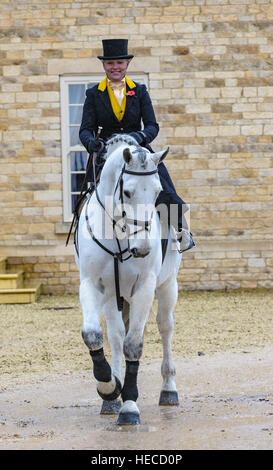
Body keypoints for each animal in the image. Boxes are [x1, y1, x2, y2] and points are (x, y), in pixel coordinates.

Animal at [73, 134, 182, 424]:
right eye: (128, 192)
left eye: (157, 191)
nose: (142, 249)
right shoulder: (93, 285)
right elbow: (94, 335)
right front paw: (109, 387)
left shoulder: (144, 287)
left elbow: (134, 344)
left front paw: (130, 404)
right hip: (114, 296)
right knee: (115, 335)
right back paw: (112, 396)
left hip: (168, 285)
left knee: (165, 327)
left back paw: (169, 389)